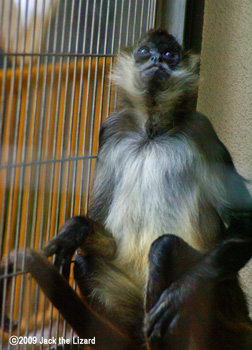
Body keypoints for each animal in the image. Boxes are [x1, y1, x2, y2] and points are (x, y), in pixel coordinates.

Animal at [0, 28, 252, 348]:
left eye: (169, 54)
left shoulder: (201, 130)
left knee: (164, 247)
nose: (157, 60)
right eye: (145, 52)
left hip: (222, 303)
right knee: (87, 264)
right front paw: (75, 230)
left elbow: (244, 229)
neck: (151, 135)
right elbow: (100, 238)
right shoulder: (112, 129)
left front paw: (178, 294)